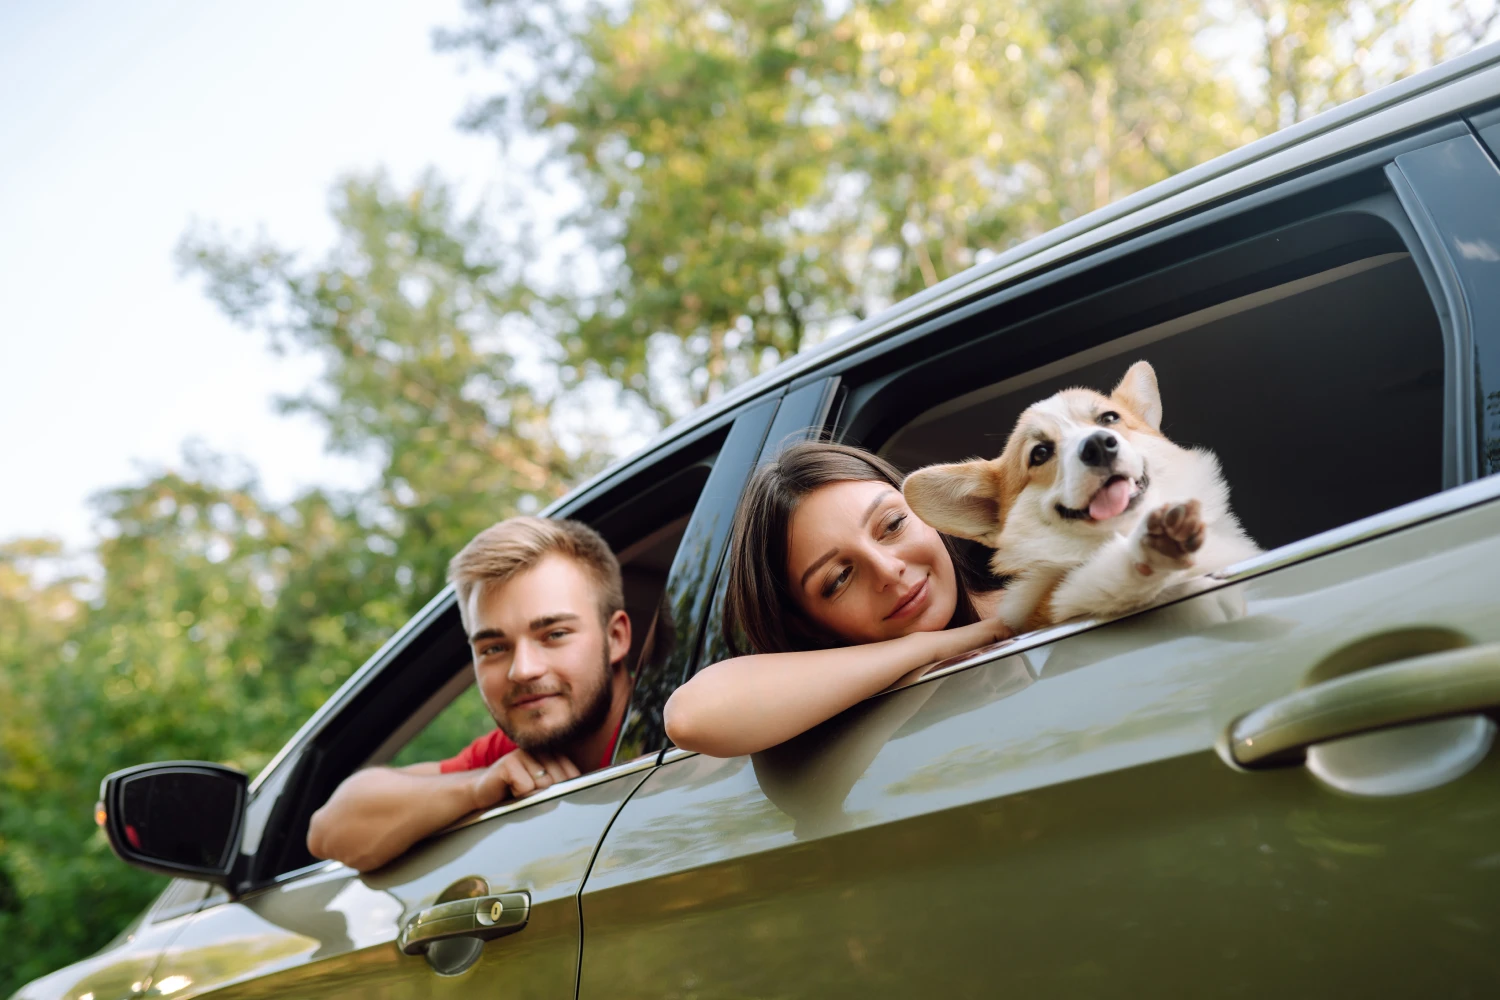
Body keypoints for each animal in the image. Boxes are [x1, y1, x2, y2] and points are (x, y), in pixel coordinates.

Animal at [894, 361, 1260, 632]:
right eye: (1040, 453)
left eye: (1109, 418)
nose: (1098, 445)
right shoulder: (1051, 607)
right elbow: (1092, 583)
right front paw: (1153, 552)